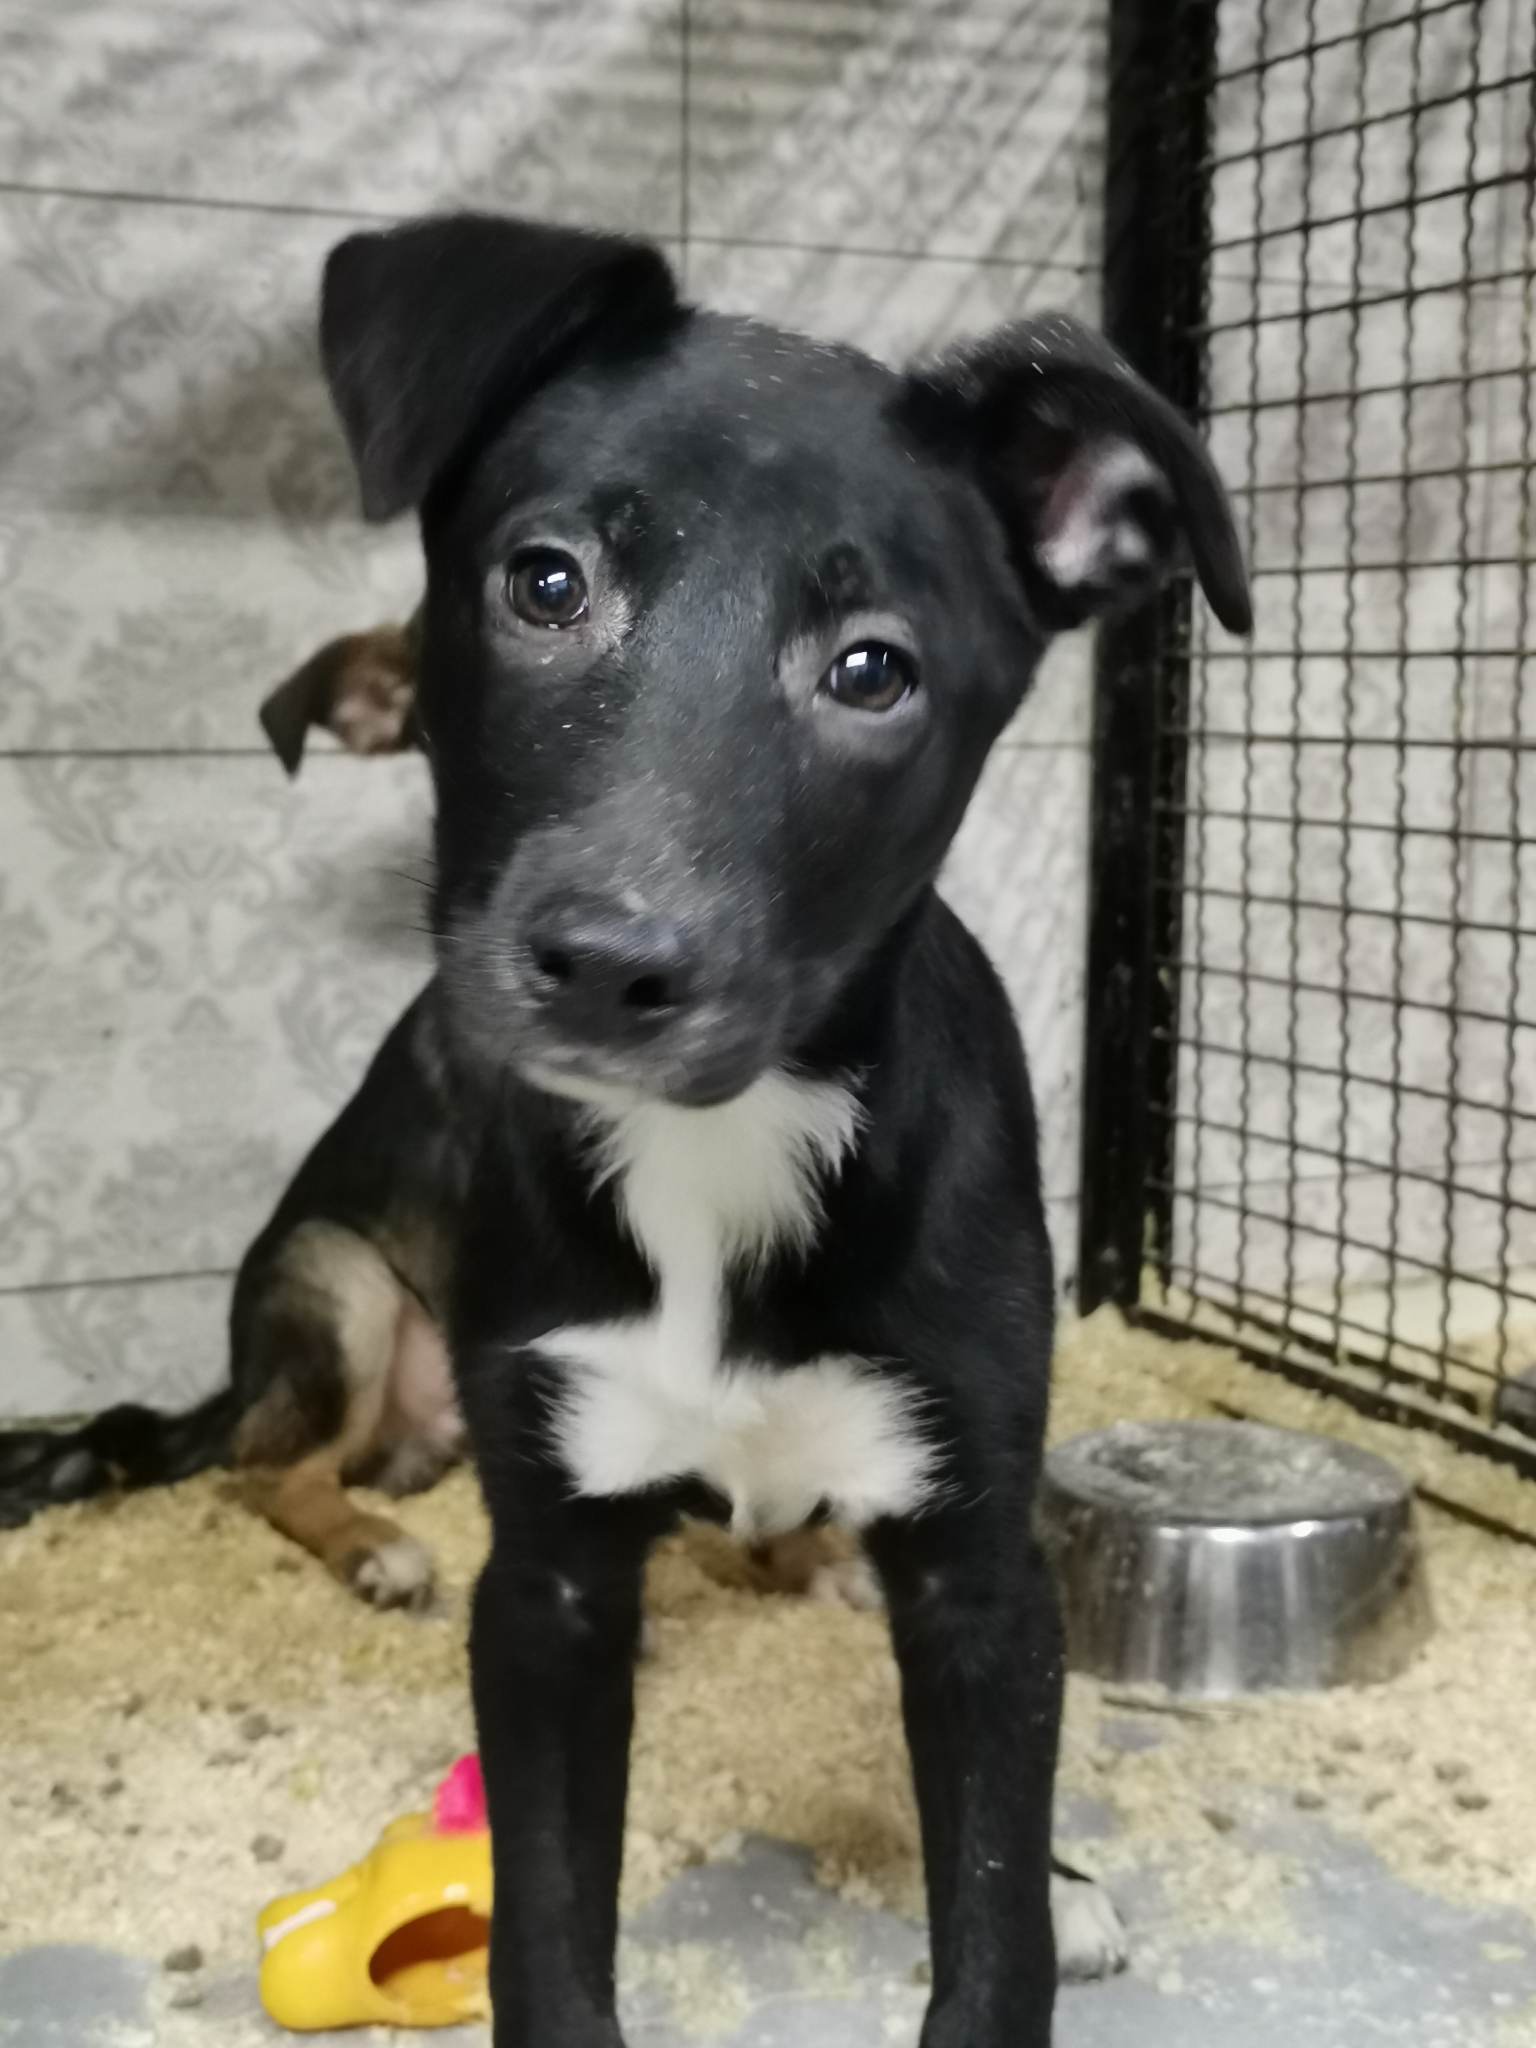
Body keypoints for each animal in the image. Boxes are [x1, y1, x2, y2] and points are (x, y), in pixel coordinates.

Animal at [310, 210, 1249, 2042]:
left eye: (872, 670)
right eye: (546, 581)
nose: (610, 962)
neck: (714, 1161)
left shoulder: (978, 1575)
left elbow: (991, 1923)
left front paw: (1039, 1898)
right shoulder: (547, 1577)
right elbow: (545, 1927)